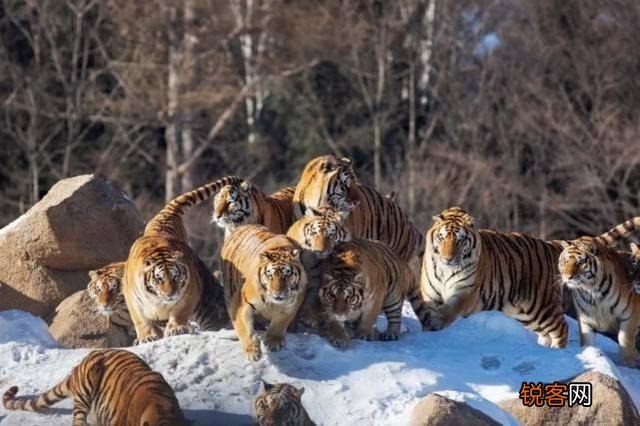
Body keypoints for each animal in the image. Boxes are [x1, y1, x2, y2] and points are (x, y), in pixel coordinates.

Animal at [124, 176, 239, 343]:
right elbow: (141, 320)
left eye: (175, 277)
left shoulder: (190, 291)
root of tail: (165, 216)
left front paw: (176, 329)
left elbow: (180, 312)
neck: (158, 301)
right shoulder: (132, 298)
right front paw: (147, 337)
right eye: (159, 278)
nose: (171, 294)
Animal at [220, 224, 306, 361]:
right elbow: (245, 328)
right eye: (270, 274)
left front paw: (273, 341)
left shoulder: (292, 306)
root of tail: (241, 227)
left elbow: (280, 323)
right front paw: (252, 351)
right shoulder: (241, 303)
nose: (278, 293)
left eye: (287, 274)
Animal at [421, 207, 640, 349]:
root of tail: (550, 244)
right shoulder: (429, 294)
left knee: (562, 328)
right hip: (525, 312)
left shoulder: (465, 293)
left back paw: (556, 351)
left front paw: (438, 320)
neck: (445, 271)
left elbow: (450, 308)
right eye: (441, 237)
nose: (448, 258)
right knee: (547, 331)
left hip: (542, 307)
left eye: (460, 240)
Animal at [558, 238, 640, 366]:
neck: (592, 292)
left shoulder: (630, 316)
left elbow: (625, 341)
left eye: (581, 262)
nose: (567, 277)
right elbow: (588, 342)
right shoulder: (586, 320)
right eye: (564, 261)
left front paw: (628, 363)